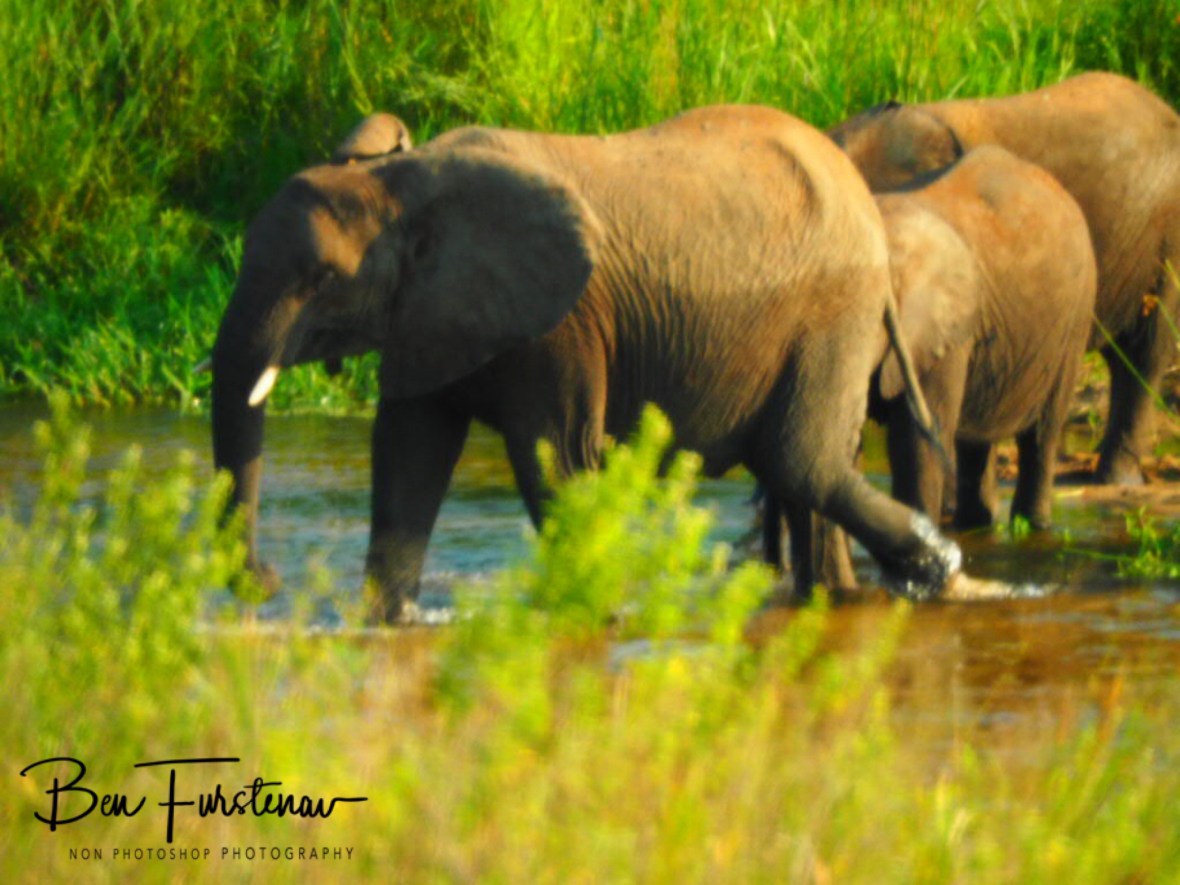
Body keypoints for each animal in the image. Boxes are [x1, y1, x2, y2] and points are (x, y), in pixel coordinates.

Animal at [209, 104, 969, 623]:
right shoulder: (431, 309)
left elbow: (557, 460)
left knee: (801, 459)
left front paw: (590, 613)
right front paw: (387, 623)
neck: (400, 183)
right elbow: (408, 457)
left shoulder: (562, 323)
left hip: (834, 312)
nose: (265, 579)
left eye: (320, 278)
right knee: (801, 468)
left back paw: (937, 572)